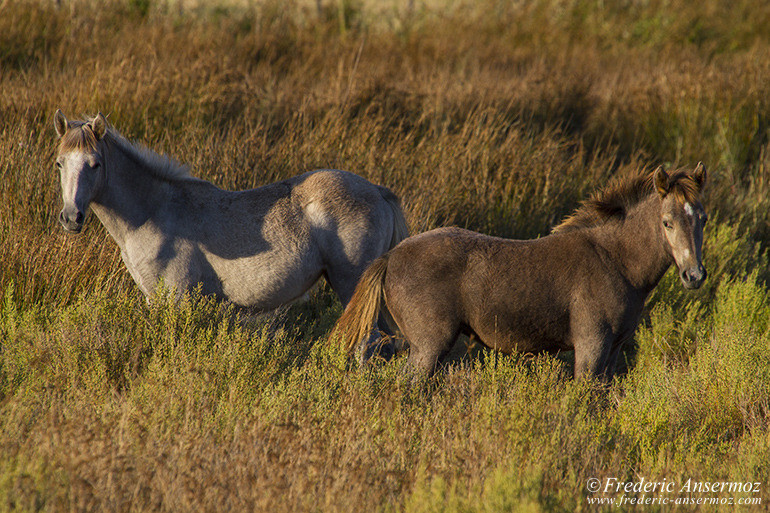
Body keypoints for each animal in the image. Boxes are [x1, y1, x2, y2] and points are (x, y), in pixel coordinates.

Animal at [52, 108, 408, 356]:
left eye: (95, 164)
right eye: (59, 163)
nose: (71, 217)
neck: (153, 212)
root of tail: (378, 192)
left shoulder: (178, 300)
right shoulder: (156, 301)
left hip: (353, 286)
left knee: (371, 343)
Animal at [332, 165, 704, 380]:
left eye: (702, 218)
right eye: (667, 222)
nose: (694, 276)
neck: (614, 259)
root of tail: (390, 256)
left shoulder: (613, 351)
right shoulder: (591, 347)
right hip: (428, 347)